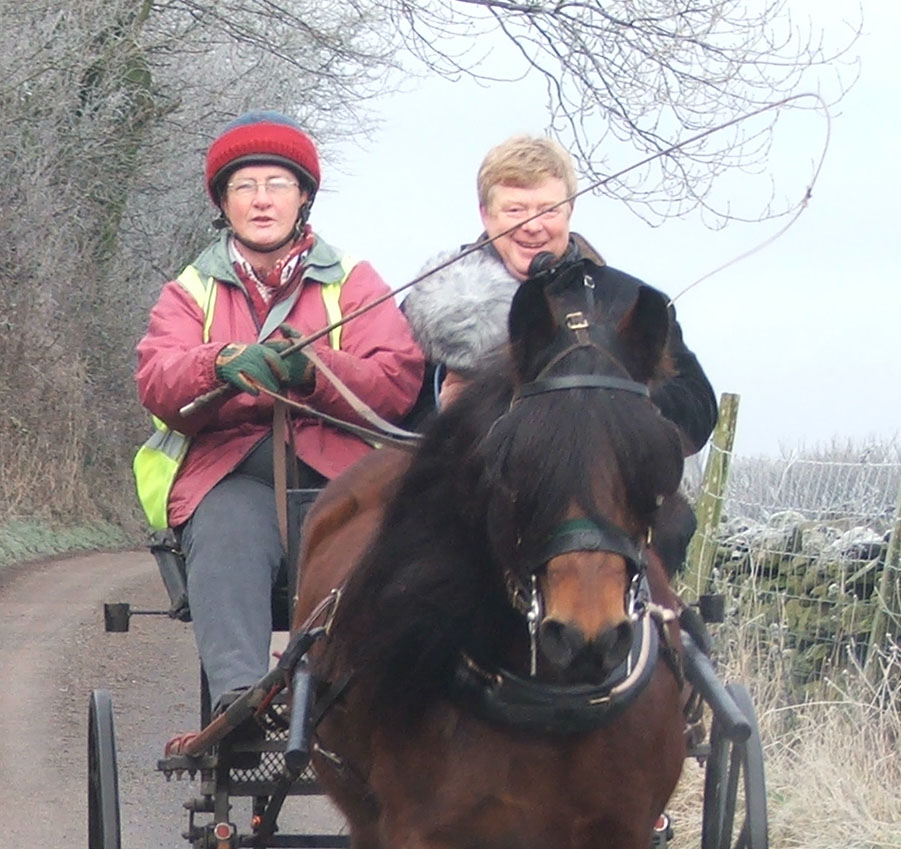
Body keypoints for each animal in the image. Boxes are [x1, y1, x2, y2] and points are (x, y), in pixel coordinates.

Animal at [292, 258, 684, 848]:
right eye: (514, 459)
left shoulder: (622, 829)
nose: (586, 636)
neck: (552, 707)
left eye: (657, 458)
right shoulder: (419, 829)